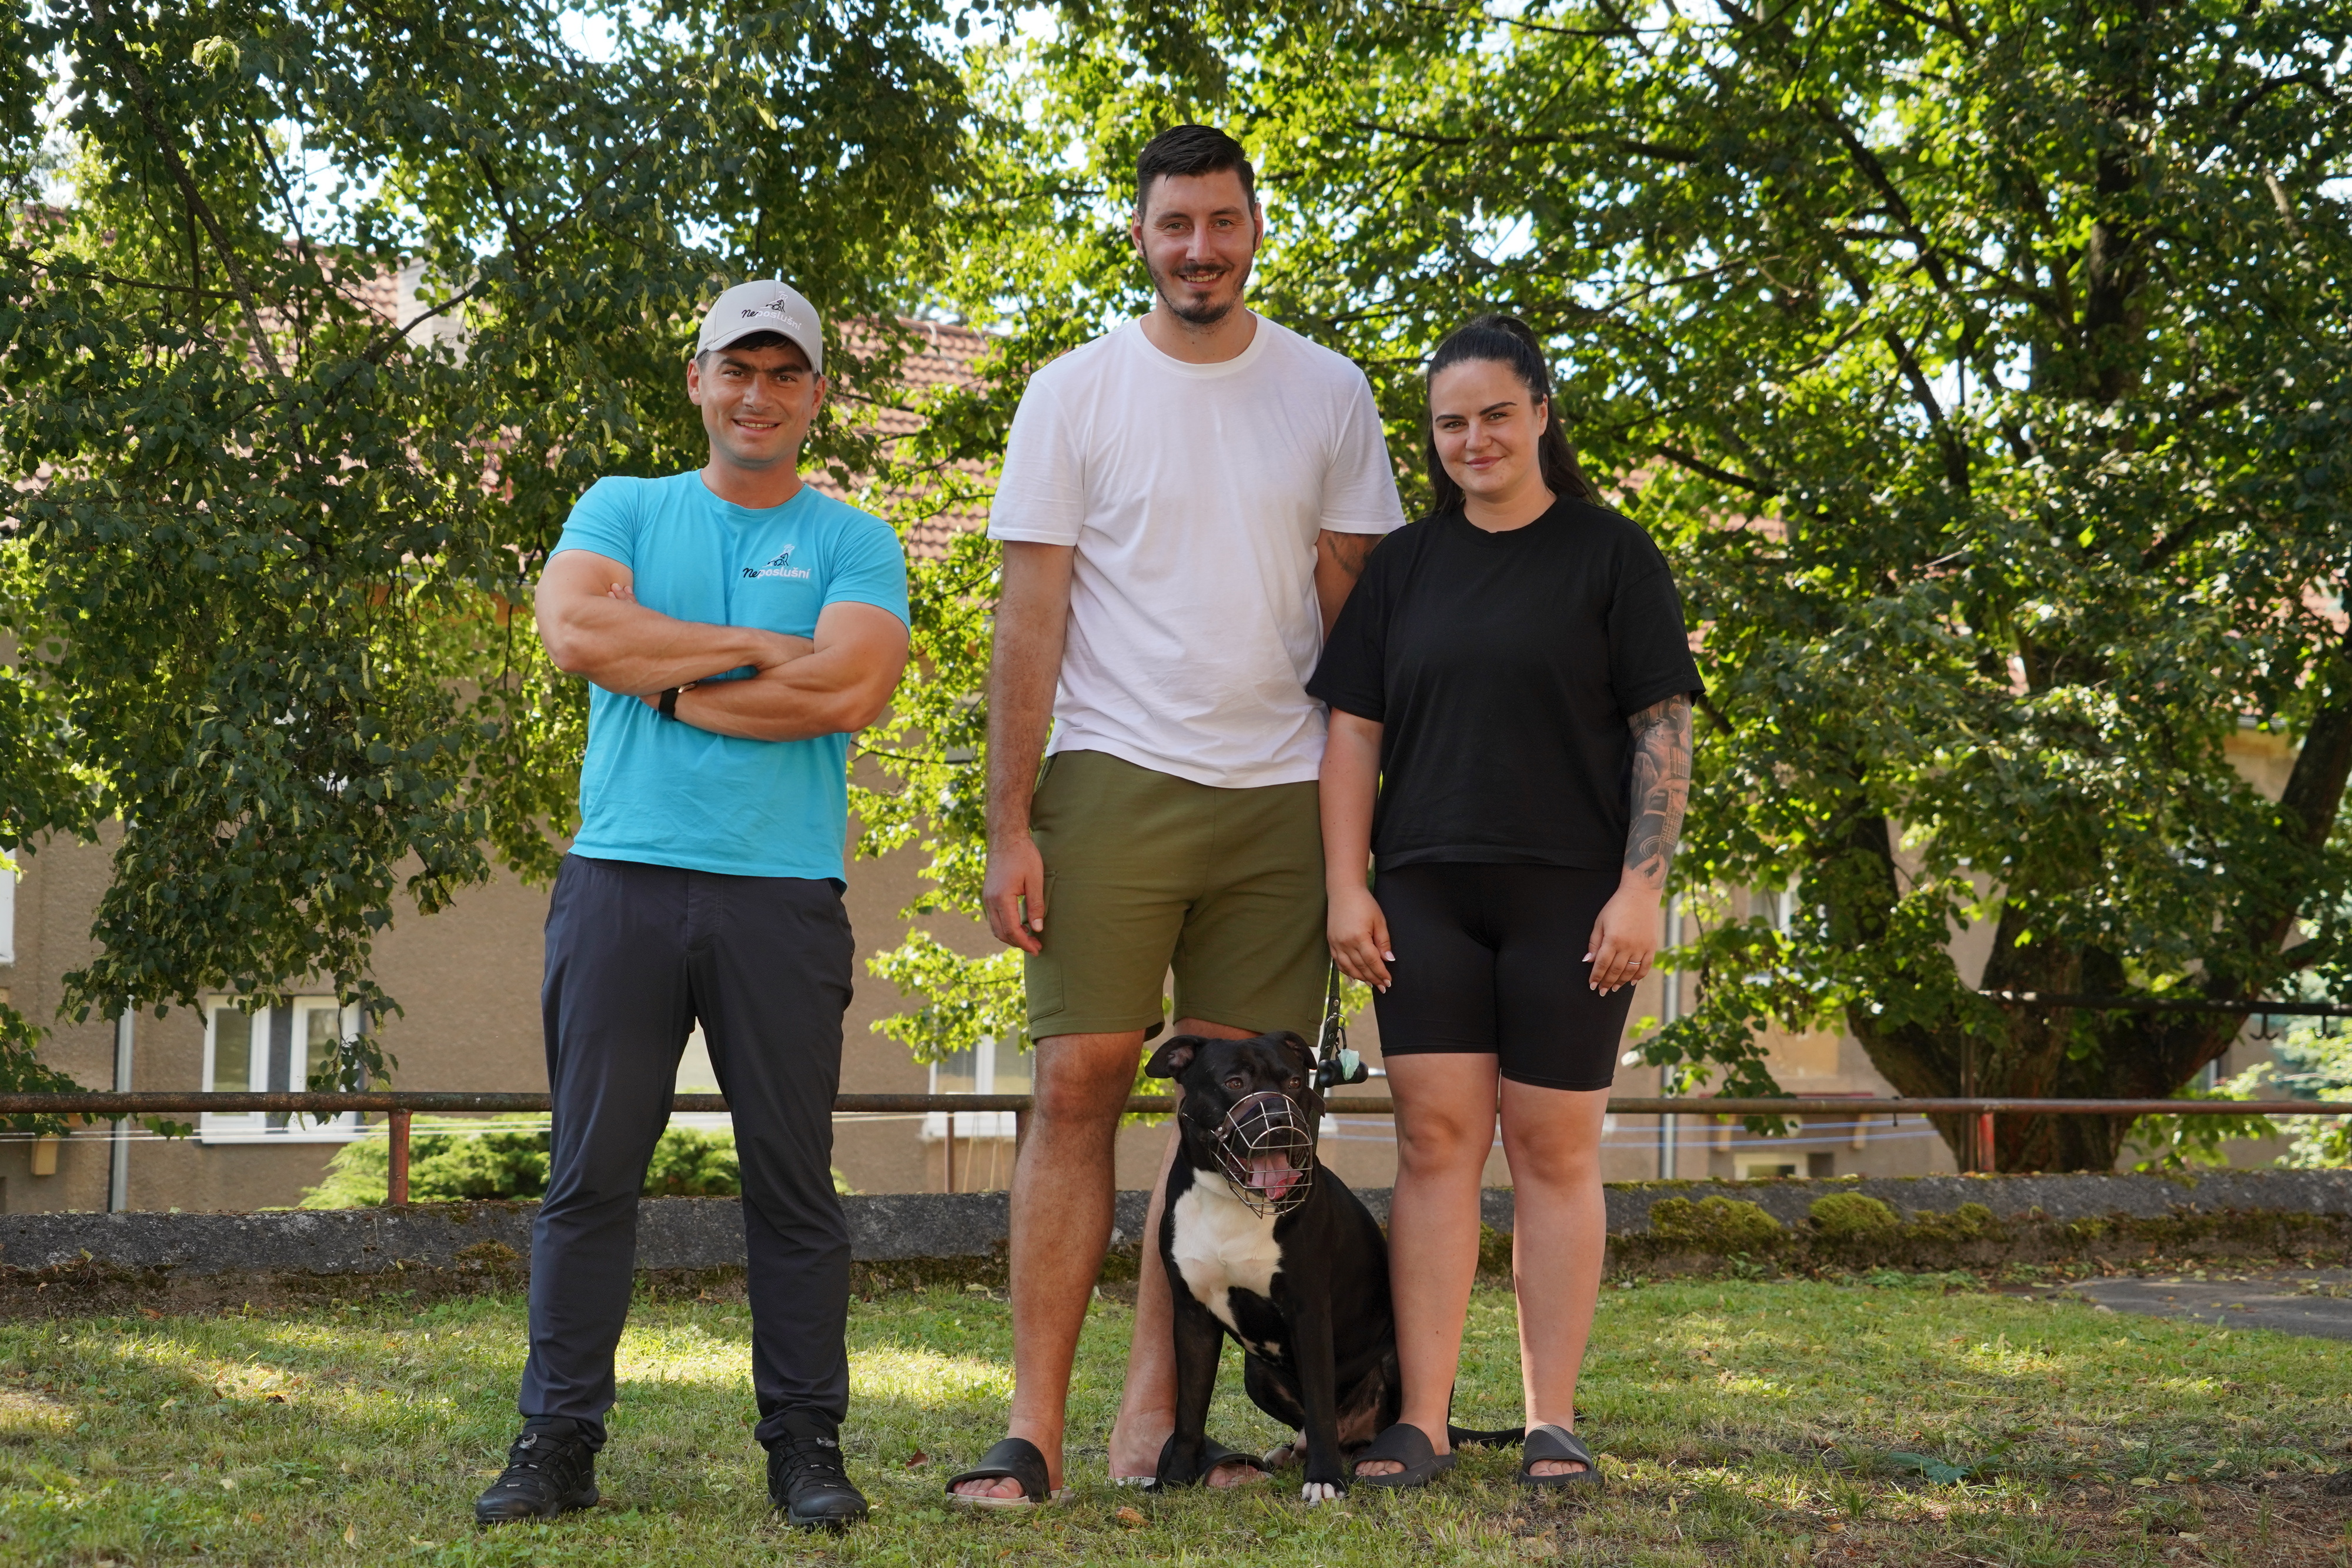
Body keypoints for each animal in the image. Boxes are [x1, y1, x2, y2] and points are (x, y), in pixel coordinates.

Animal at [1138, 1029, 1392, 1505]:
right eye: (1234, 1083)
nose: (1278, 1115)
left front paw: (1325, 1479)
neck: (1231, 1202)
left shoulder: (1309, 1311)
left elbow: (1319, 1401)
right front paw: (1174, 1480)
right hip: (1257, 1374)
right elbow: (1188, 1411)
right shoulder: (1192, 1317)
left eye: (1293, 1081)